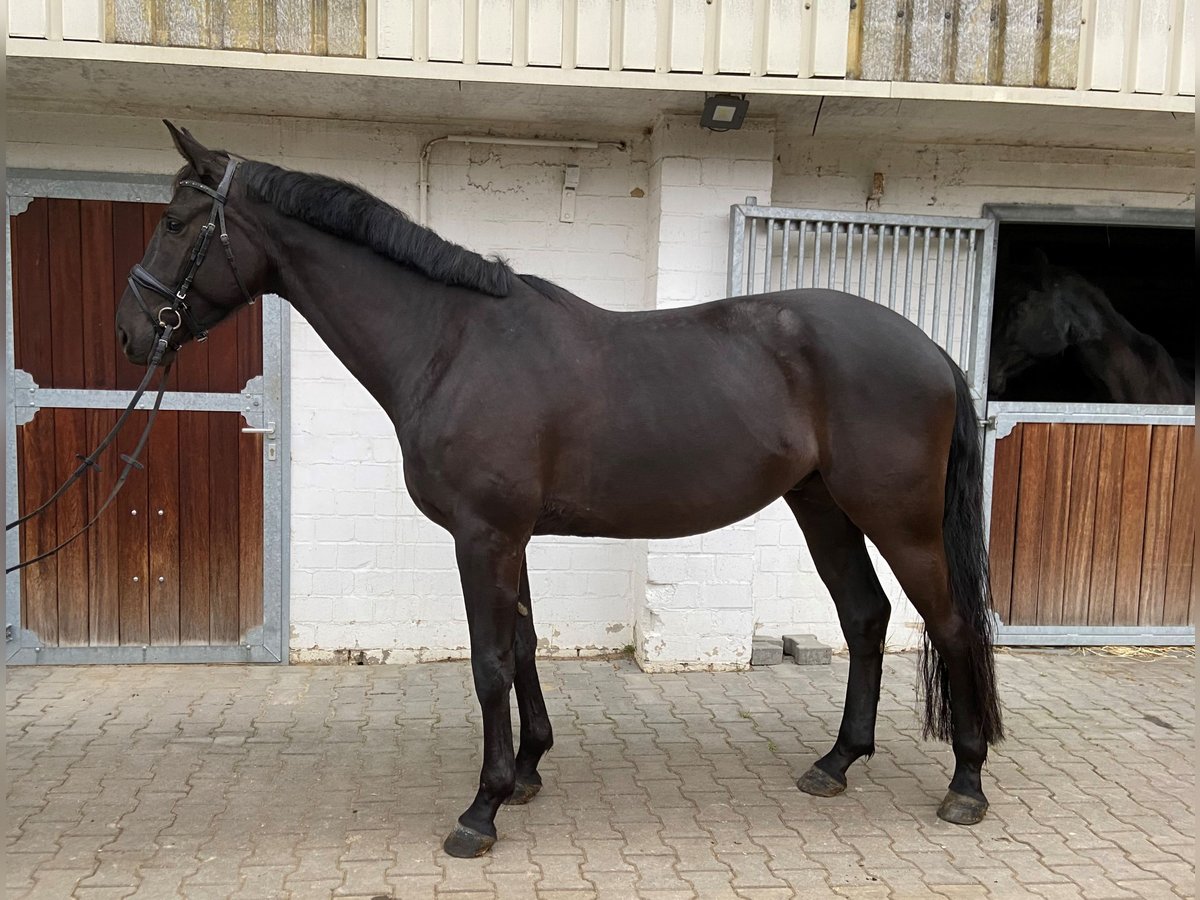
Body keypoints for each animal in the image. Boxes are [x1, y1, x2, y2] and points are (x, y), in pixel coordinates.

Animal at [119, 120, 1003, 859]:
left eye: (175, 224)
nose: (131, 333)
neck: (452, 344)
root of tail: (931, 351)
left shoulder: (482, 536)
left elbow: (487, 663)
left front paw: (481, 809)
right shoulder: (510, 537)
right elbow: (524, 645)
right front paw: (529, 771)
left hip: (901, 520)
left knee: (952, 624)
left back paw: (965, 783)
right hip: (822, 505)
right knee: (865, 616)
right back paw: (837, 761)